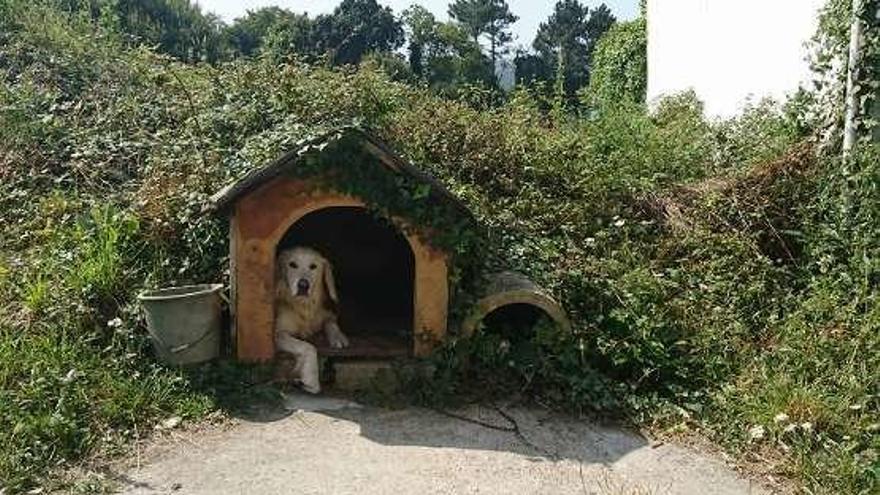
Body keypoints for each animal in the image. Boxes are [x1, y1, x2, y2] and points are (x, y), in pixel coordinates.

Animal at [276, 248, 348, 396]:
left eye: (313, 266)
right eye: (292, 264)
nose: (303, 285)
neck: (304, 305)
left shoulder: (326, 315)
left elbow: (331, 323)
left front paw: (338, 337)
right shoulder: (278, 333)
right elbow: (308, 347)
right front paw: (311, 380)